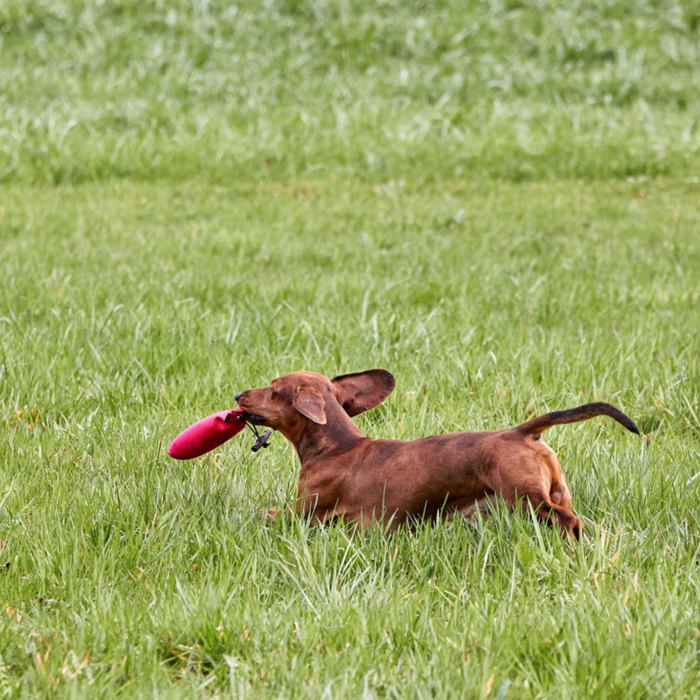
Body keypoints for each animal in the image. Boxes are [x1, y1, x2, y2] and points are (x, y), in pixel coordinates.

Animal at [235, 370, 640, 540]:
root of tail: (521, 431)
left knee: (567, 521)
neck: (339, 447)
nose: (238, 395)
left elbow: (266, 514)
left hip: (527, 499)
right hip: (553, 492)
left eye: (272, 389)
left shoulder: (304, 513)